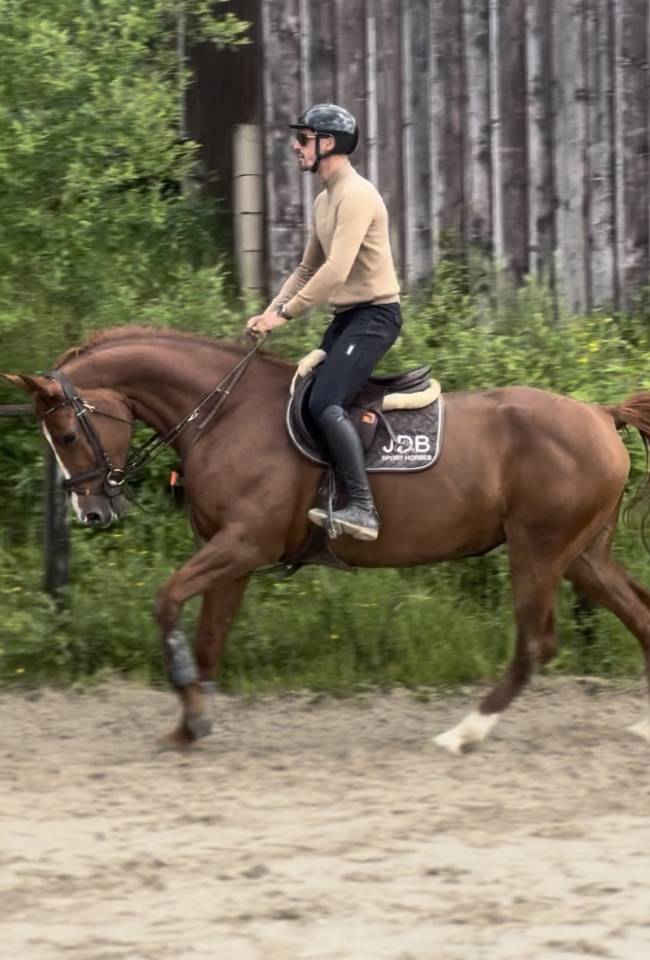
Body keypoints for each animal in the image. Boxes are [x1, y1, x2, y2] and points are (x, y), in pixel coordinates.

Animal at [4, 325, 650, 754]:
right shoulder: (233, 556)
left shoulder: (244, 545)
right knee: (638, 612)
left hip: (538, 551)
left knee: (536, 643)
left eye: (67, 434)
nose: (91, 512)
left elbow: (166, 602)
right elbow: (211, 637)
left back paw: (464, 731)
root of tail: (599, 414)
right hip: (581, 555)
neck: (226, 415)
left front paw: (187, 697)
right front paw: (191, 723)